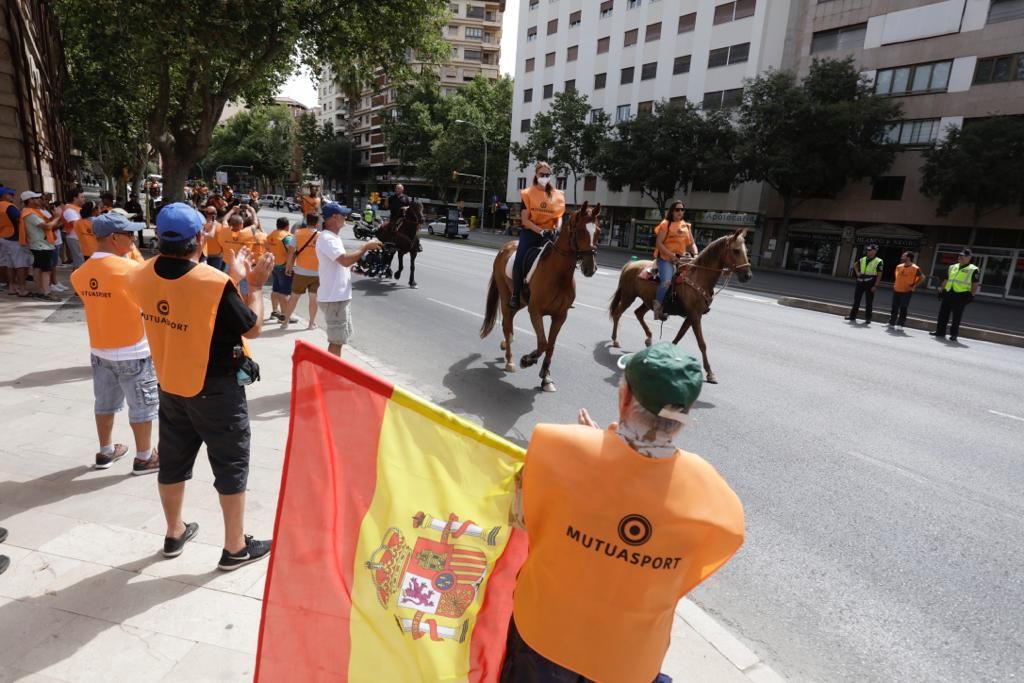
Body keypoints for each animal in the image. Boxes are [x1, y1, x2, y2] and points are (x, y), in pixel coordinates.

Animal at [479, 202, 598, 393]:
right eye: (580, 231)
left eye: (598, 231)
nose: (590, 268)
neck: (558, 274)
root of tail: (505, 247)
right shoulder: (535, 312)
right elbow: (543, 342)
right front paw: (527, 360)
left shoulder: (560, 316)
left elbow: (551, 345)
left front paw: (546, 378)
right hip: (506, 298)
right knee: (507, 325)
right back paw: (510, 360)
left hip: (519, 301)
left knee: (508, 323)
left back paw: (505, 346)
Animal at [606, 227, 753, 382]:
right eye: (736, 250)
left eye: (746, 250)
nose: (748, 275)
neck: (699, 276)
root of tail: (630, 264)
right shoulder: (695, 316)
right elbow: (702, 344)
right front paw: (710, 372)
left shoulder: (692, 316)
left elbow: (679, 336)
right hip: (628, 297)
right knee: (618, 313)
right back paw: (615, 340)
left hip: (648, 301)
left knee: (638, 313)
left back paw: (649, 338)